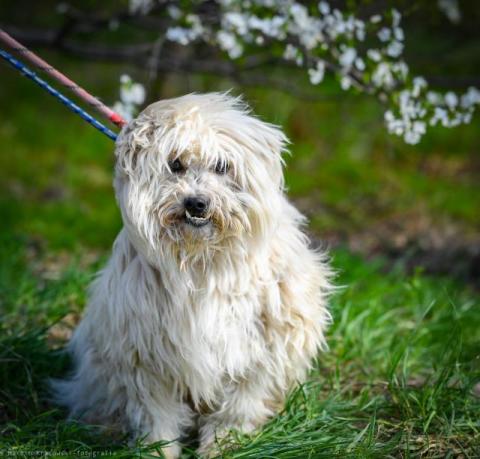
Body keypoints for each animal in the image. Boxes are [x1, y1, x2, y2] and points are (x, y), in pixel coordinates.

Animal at [53, 93, 332, 458]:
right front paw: (157, 450)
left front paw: (224, 447)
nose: (196, 203)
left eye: (221, 166)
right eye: (175, 164)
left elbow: (236, 408)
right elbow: (156, 416)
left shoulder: (261, 351)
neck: (203, 261)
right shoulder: (146, 356)